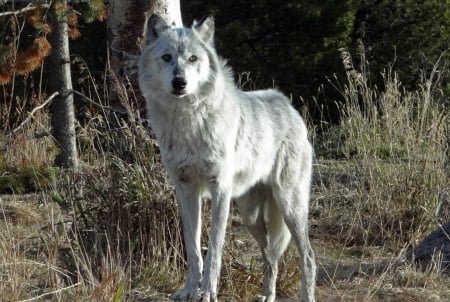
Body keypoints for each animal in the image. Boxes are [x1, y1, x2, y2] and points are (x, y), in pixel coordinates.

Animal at [137, 13, 316, 300]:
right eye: (166, 57)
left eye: (193, 58)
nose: (180, 82)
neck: (188, 122)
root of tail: (288, 105)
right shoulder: (186, 190)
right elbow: (193, 248)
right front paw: (189, 289)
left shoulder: (220, 189)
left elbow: (215, 249)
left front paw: (207, 292)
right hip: (250, 215)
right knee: (270, 254)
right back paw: (267, 295)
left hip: (289, 205)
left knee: (308, 256)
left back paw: (305, 295)